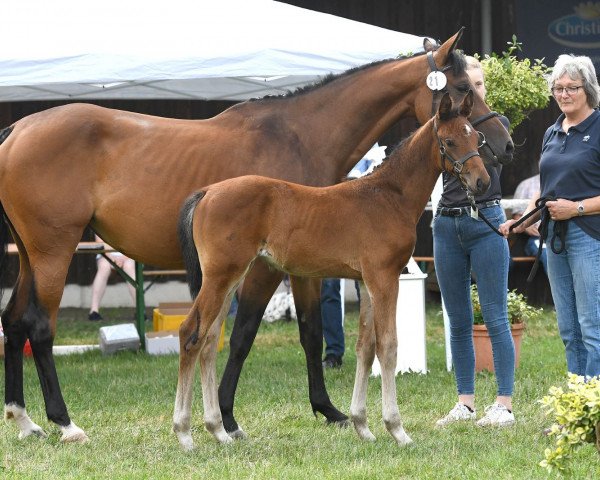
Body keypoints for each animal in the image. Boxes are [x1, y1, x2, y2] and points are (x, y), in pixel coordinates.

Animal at [175, 91, 492, 450]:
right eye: (449, 141)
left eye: (475, 137)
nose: (482, 182)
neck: (388, 196)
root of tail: (207, 192)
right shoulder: (385, 278)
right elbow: (388, 346)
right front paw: (397, 429)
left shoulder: (367, 282)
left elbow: (365, 348)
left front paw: (362, 426)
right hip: (220, 277)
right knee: (191, 334)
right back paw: (184, 433)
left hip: (230, 279)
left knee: (209, 341)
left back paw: (218, 430)